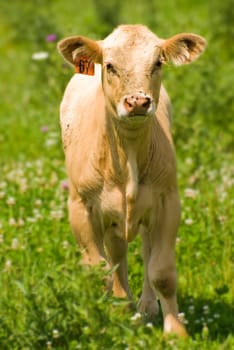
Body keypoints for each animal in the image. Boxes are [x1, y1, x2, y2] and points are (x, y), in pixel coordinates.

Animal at [57, 24, 206, 336]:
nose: (137, 102)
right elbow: (98, 270)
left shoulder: (168, 203)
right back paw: (123, 304)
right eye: (110, 65)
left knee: (145, 251)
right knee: (117, 253)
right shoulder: (80, 207)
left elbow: (162, 272)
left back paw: (145, 307)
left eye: (158, 63)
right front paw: (104, 323)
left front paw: (176, 332)